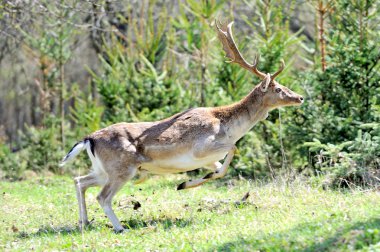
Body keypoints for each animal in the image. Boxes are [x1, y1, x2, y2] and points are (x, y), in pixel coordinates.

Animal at [59, 21, 302, 232]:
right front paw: (184, 183)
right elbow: (233, 150)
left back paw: (84, 222)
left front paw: (186, 183)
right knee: (102, 196)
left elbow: (219, 170)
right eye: (278, 88)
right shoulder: (201, 148)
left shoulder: (208, 158)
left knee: (79, 181)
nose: (299, 97)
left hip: (102, 170)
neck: (227, 127)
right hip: (121, 169)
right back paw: (120, 228)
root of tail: (88, 139)